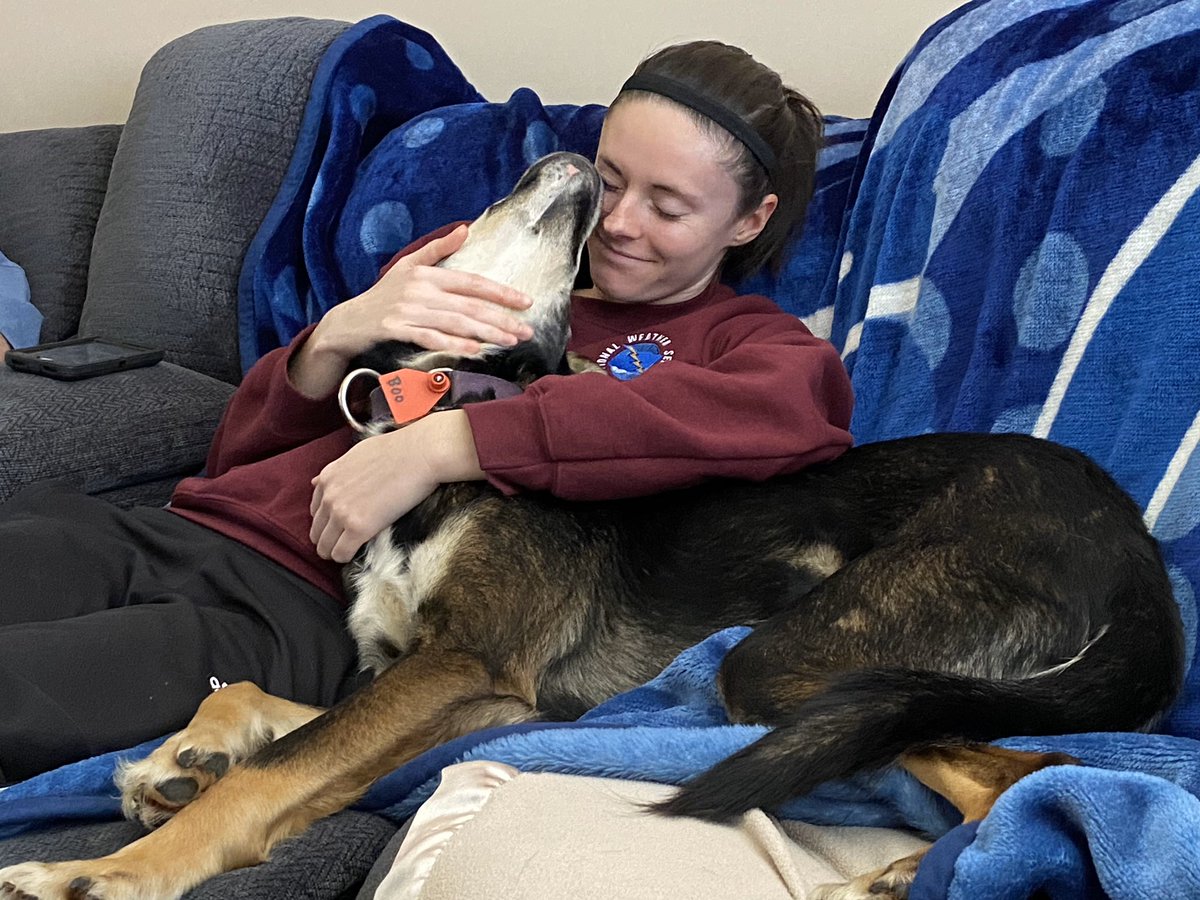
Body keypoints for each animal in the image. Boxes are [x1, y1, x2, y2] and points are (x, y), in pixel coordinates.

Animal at [0, 151, 1180, 897]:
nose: (573, 156)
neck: (444, 409)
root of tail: (1131, 542)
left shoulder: (469, 660)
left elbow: (278, 770)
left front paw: (101, 873)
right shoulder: (465, 692)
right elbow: (263, 707)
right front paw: (179, 760)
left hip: (796, 662)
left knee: (1026, 768)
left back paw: (896, 879)